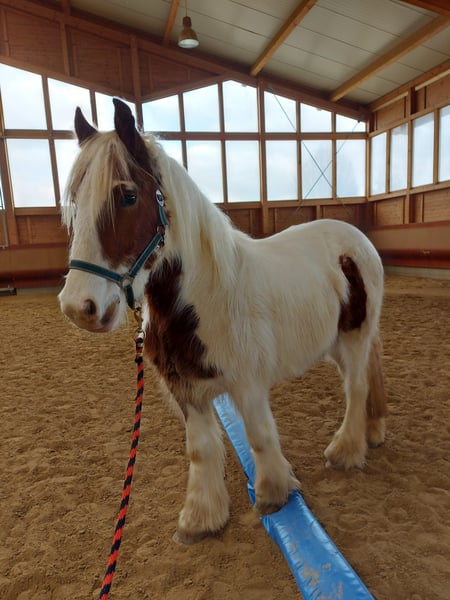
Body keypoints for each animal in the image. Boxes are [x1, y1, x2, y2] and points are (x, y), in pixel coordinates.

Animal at [59, 98, 387, 545]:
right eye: (75, 199)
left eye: (127, 196)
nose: (80, 307)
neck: (205, 297)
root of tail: (355, 237)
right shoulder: (186, 390)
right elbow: (201, 450)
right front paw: (201, 519)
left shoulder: (248, 385)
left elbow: (260, 438)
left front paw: (273, 496)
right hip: (335, 343)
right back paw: (371, 433)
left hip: (355, 337)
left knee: (355, 388)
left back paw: (346, 451)